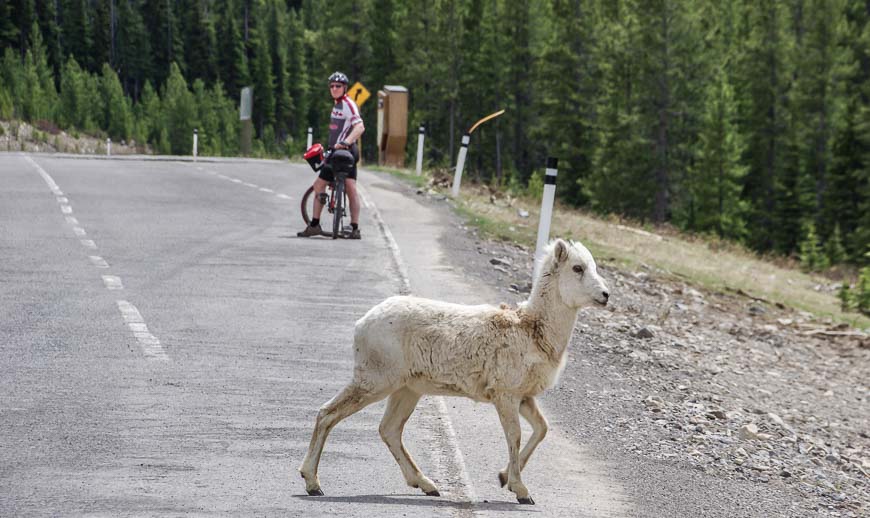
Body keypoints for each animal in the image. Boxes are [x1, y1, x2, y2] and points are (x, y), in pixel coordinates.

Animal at [300, 241, 612, 508]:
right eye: (577, 268)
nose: (605, 295)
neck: (533, 330)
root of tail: (362, 323)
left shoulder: (524, 397)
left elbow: (541, 429)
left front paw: (503, 479)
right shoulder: (506, 395)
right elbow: (515, 436)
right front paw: (522, 492)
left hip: (407, 390)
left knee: (389, 429)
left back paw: (427, 485)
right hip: (374, 381)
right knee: (327, 414)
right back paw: (313, 484)